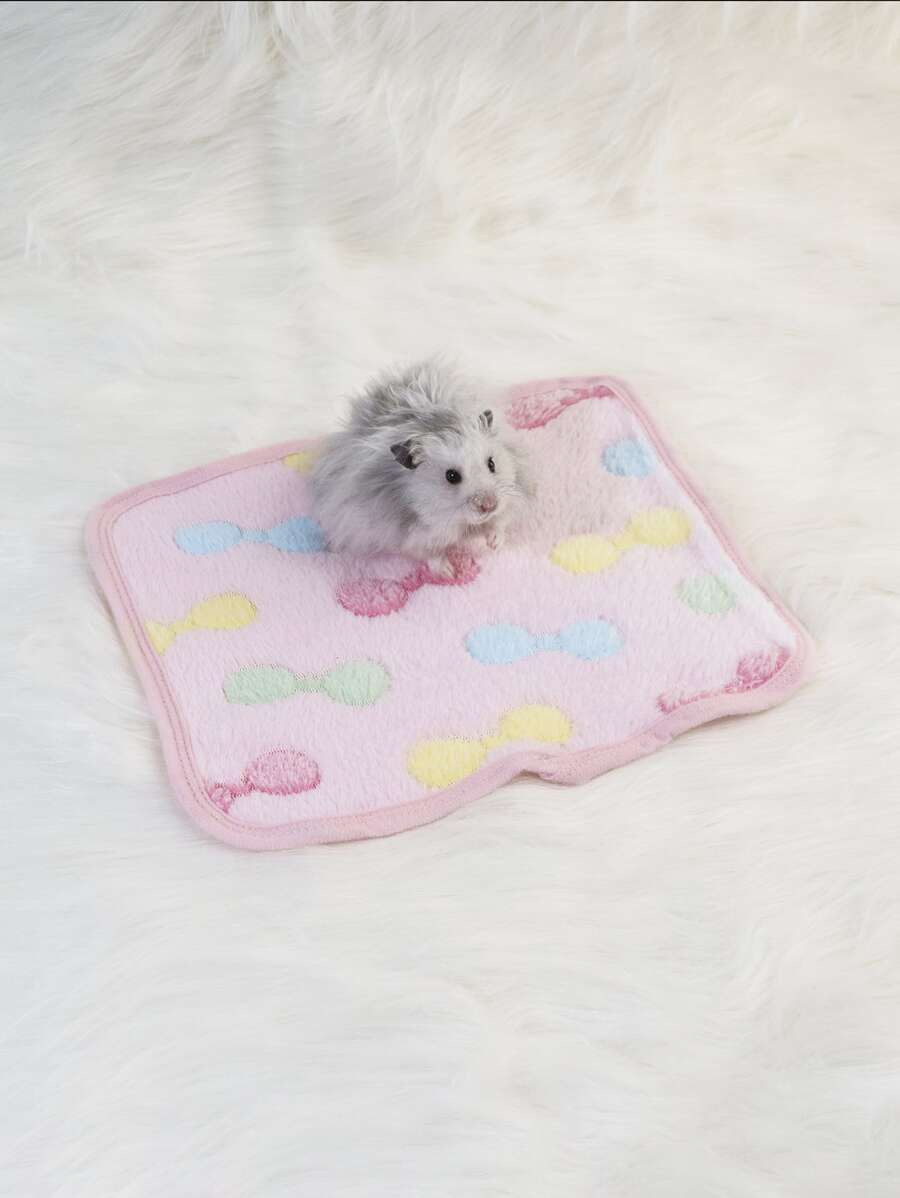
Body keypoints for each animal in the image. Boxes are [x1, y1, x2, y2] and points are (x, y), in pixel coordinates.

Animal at [310, 361, 533, 576]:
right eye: (451, 476)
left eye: (492, 464)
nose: (489, 506)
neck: (458, 520)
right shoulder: (409, 538)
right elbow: (428, 555)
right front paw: (450, 573)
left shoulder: (508, 500)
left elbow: (499, 523)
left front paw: (494, 544)